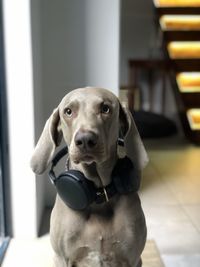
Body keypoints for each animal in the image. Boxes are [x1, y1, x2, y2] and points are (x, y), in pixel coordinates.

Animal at [30, 87, 148, 266]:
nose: (85, 140)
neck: (96, 194)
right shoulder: (61, 258)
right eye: (68, 111)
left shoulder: (133, 258)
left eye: (105, 109)